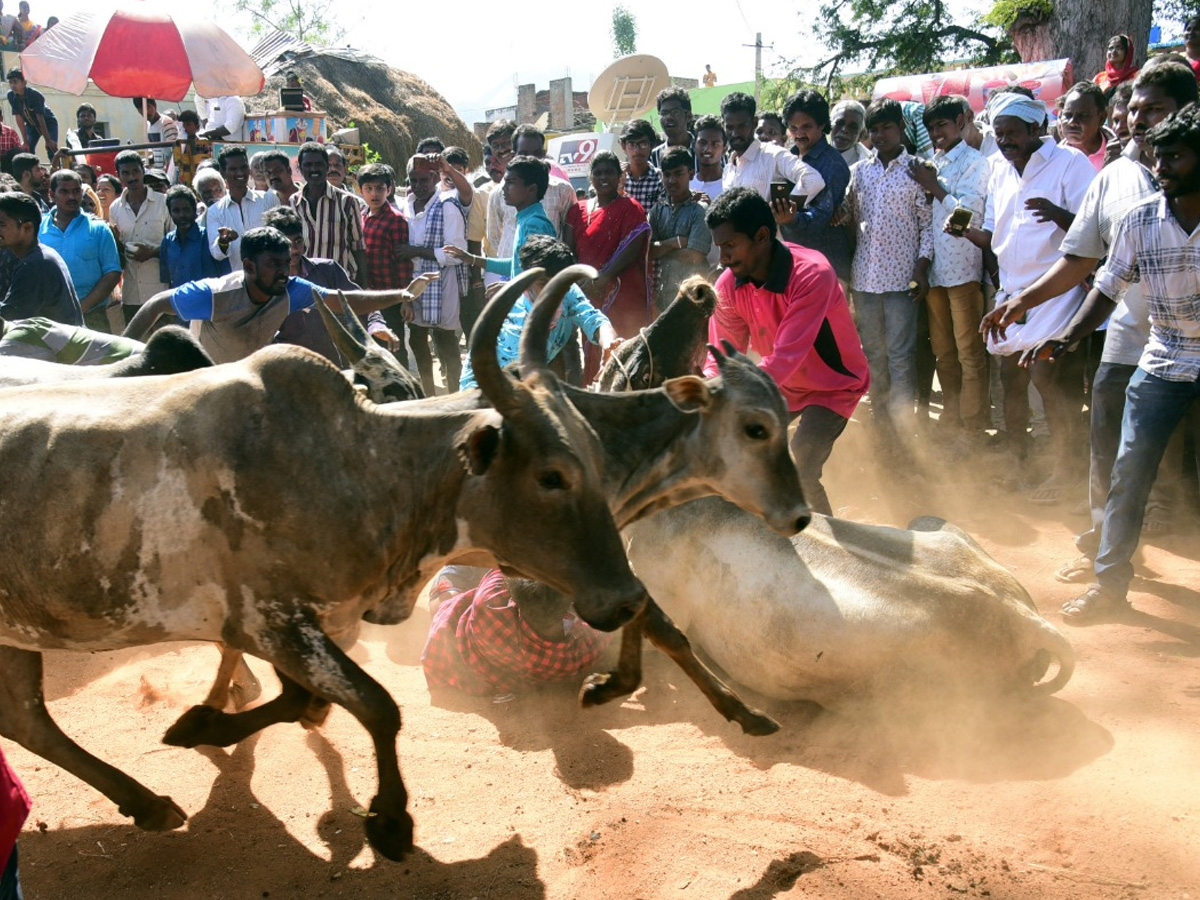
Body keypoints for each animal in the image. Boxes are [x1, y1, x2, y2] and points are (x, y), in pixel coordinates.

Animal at [0, 271, 648, 864]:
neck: (351, 466)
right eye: (551, 475)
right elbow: (377, 706)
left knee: (27, 720)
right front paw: (391, 821)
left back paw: (147, 803)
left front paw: (202, 725)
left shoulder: (301, 630)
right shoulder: (273, 624)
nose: (628, 598)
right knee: (27, 721)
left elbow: (306, 704)